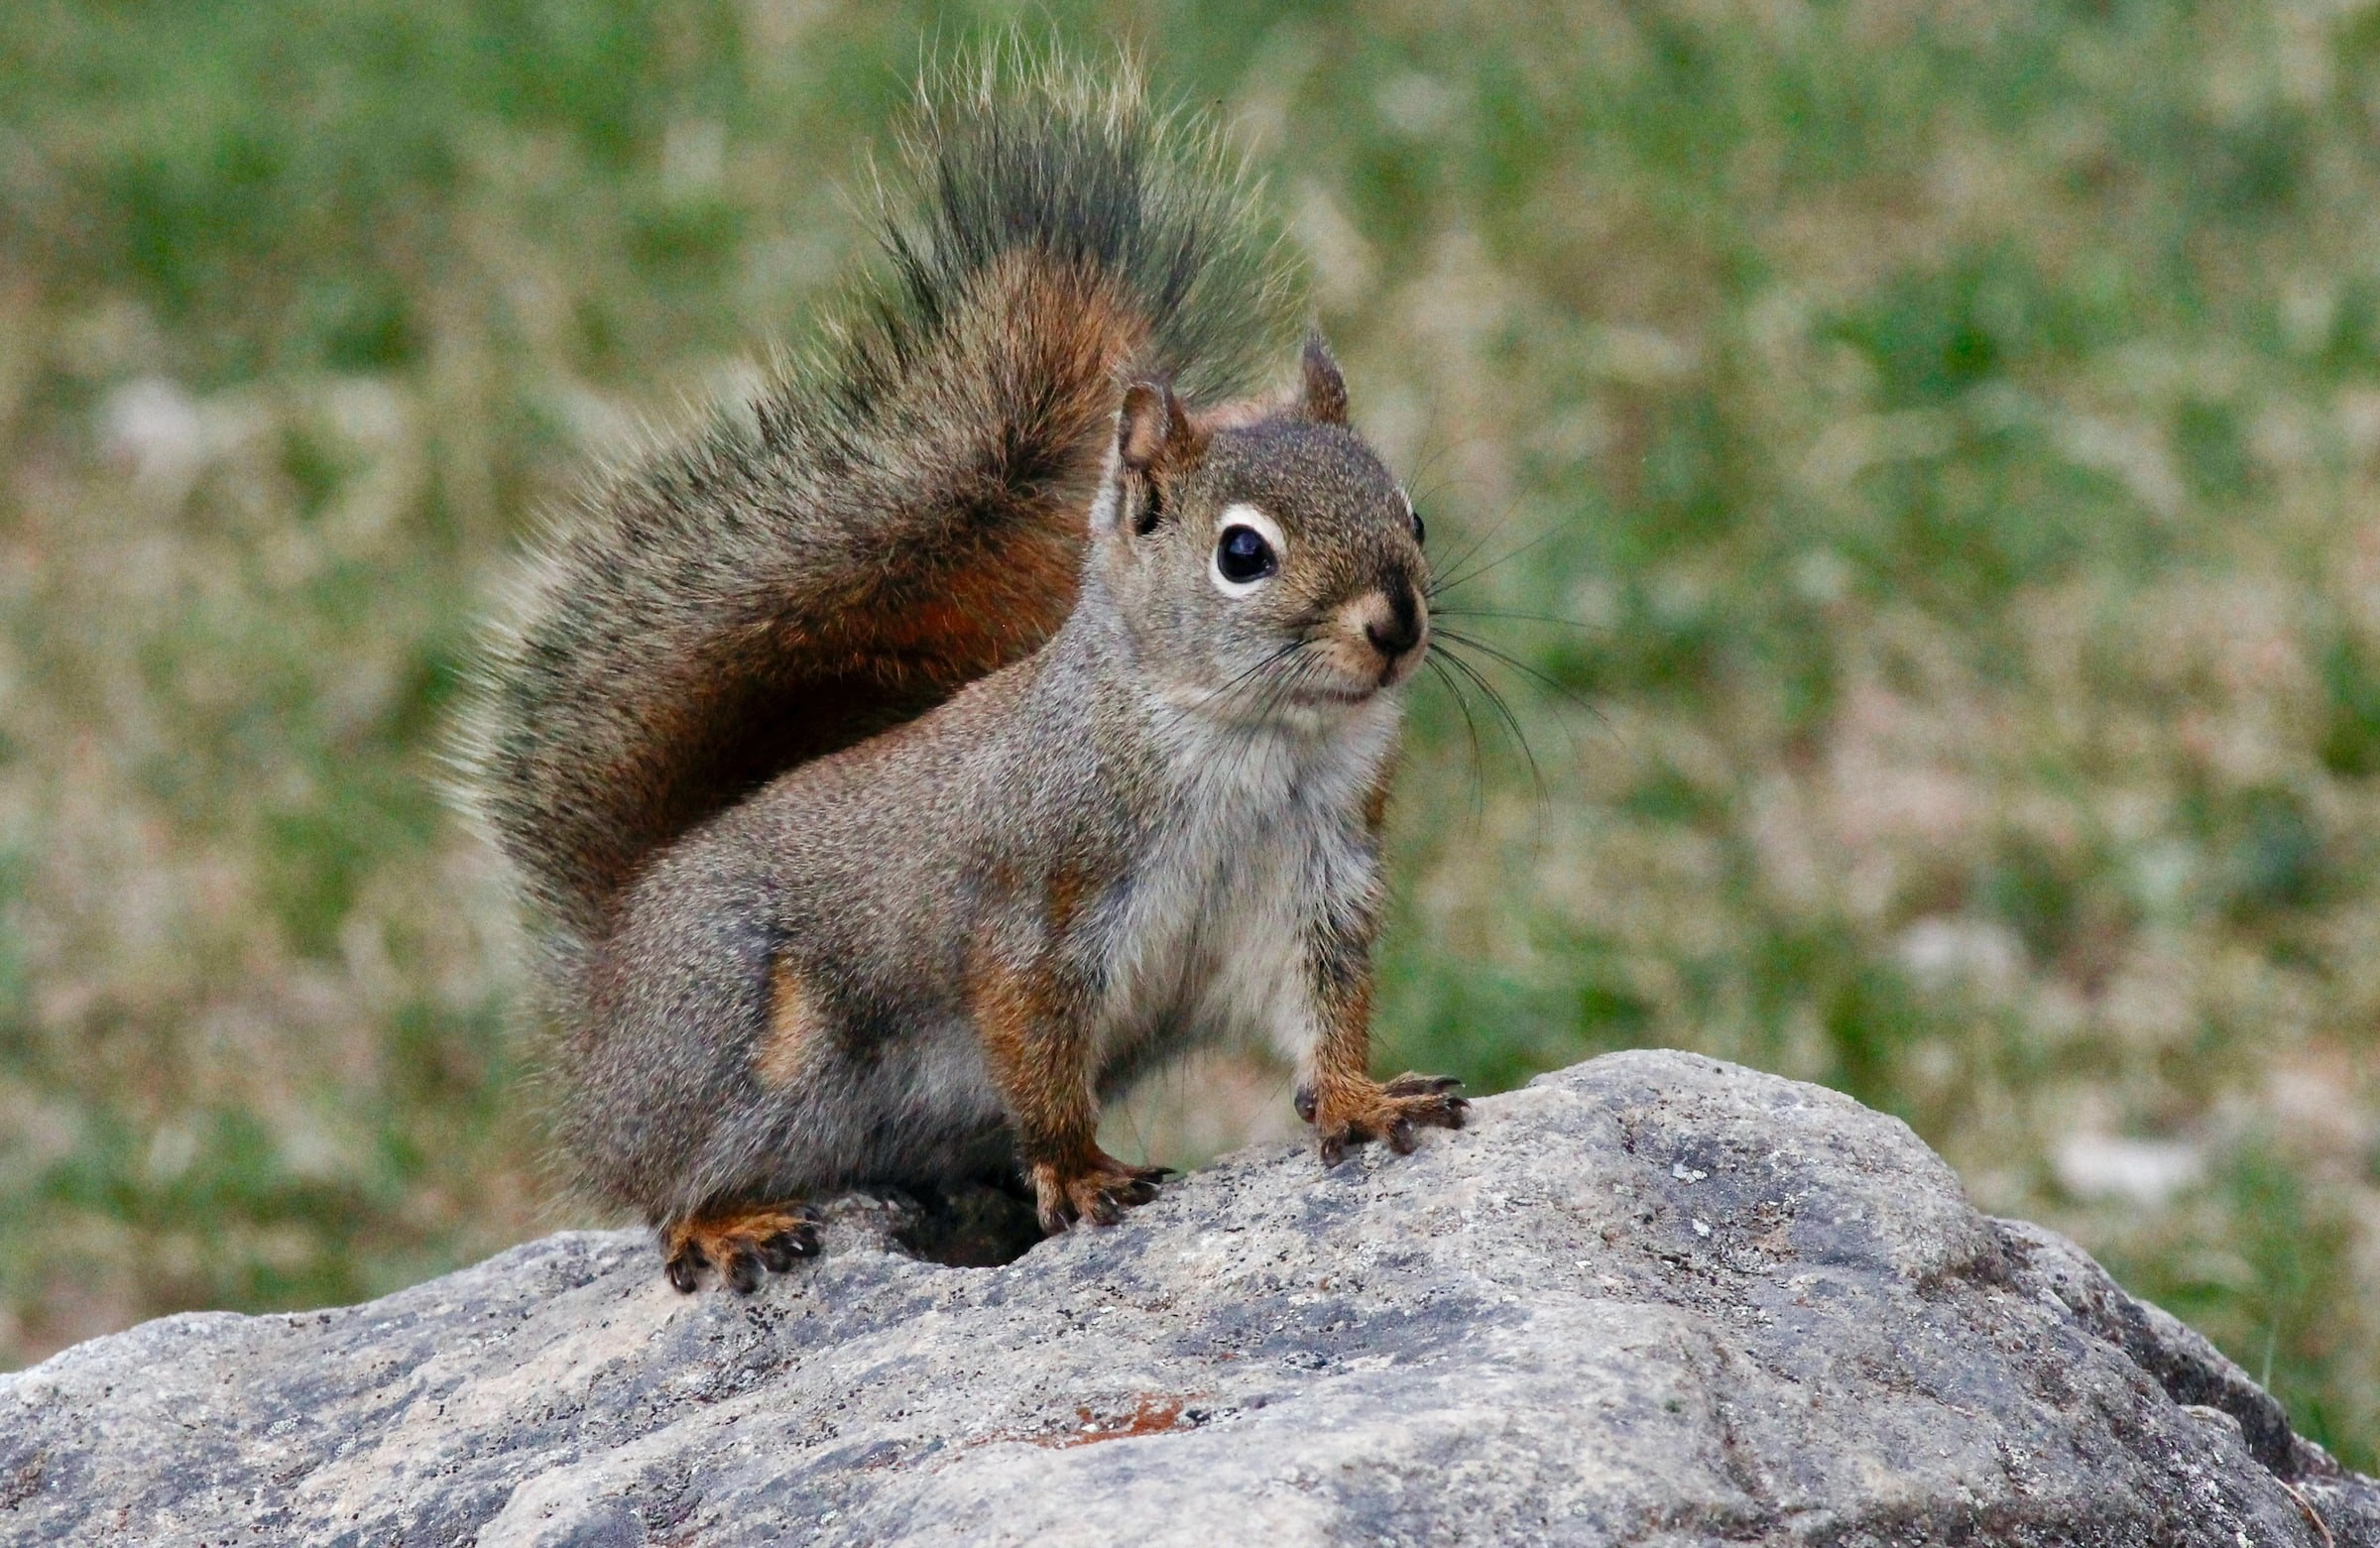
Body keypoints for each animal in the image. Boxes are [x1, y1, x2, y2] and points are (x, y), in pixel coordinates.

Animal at [461, 54, 1467, 1293]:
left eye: (1411, 513)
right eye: (1243, 553)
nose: (1397, 622)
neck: (1250, 742)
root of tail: (609, 971)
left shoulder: (1318, 885)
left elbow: (1324, 1017)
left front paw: (1365, 1098)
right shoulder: (1028, 905)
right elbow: (1028, 1040)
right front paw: (1077, 1168)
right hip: (733, 1049)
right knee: (662, 1184)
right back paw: (726, 1223)